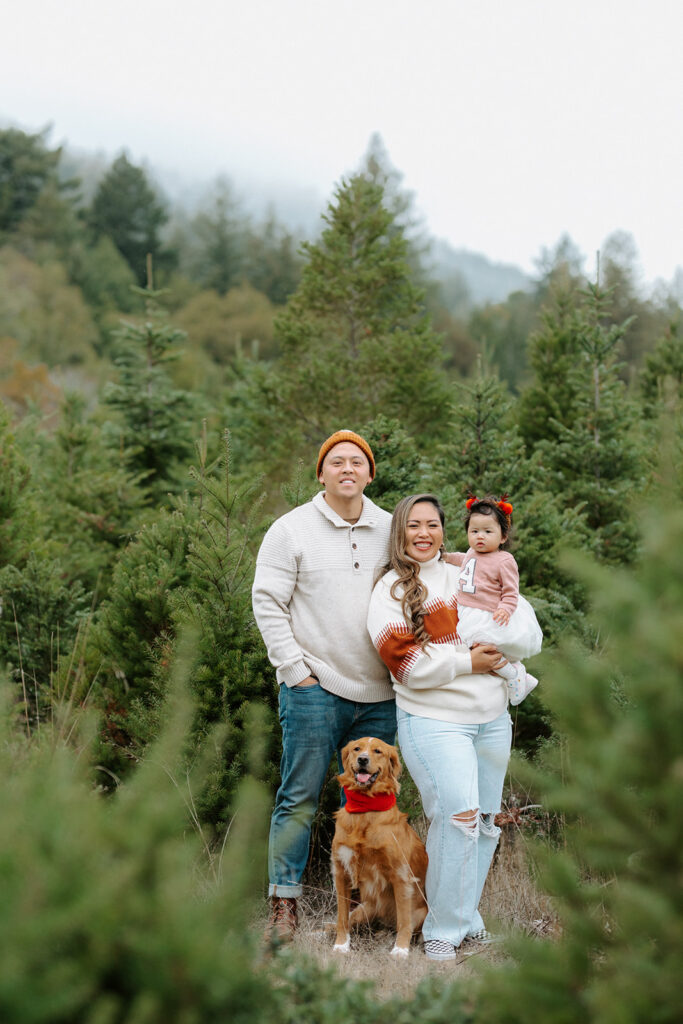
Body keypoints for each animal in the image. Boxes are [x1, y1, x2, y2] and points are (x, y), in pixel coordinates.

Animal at [331, 741, 428, 954]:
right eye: (357, 749)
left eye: (378, 751)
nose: (362, 759)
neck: (364, 809)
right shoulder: (341, 871)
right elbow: (341, 917)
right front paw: (341, 945)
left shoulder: (400, 876)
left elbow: (404, 921)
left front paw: (400, 950)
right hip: (363, 909)